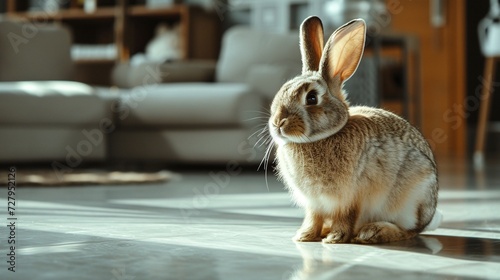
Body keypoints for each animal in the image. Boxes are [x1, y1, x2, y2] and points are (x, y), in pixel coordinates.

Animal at [266, 17, 442, 243]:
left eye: (312, 98)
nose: (278, 123)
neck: (324, 137)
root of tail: (430, 215)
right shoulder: (315, 204)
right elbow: (313, 219)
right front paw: (304, 236)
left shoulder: (351, 199)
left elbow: (346, 217)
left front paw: (335, 238)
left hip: (412, 198)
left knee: (409, 231)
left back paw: (372, 232)